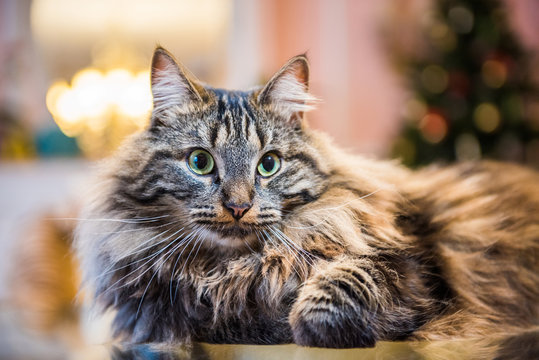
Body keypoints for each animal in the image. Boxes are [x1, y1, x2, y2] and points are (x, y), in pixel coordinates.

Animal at [73, 46, 539, 348]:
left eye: (269, 164)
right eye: (200, 162)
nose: (238, 206)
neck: (234, 268)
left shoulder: (413, 270)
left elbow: (347, 276)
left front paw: (312, 328)